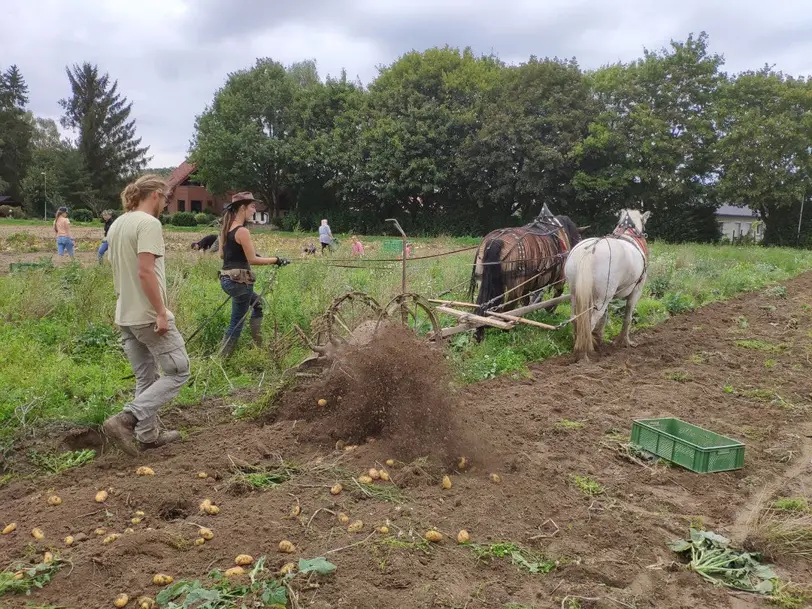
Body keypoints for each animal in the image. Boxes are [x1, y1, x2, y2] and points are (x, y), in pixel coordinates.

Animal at [470, 203, 584, 338]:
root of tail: (496, 241)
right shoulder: (559, 279)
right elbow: (556, 295)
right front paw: (549, 309)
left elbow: (527, 302)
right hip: (514, 287)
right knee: (508, 309)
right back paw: (506, 328)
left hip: (482, 279)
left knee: (483, 305)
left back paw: (479, 331)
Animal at [564, 209, 652, 360]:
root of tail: (590, 249)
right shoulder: (636, 291)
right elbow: (628, 316)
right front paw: (624, 341)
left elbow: (604, 318)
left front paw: (600, 338)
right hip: (603, 298)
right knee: (590, 322)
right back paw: (585, 353)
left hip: (576, 294)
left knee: (576, 319)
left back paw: (578, 345)